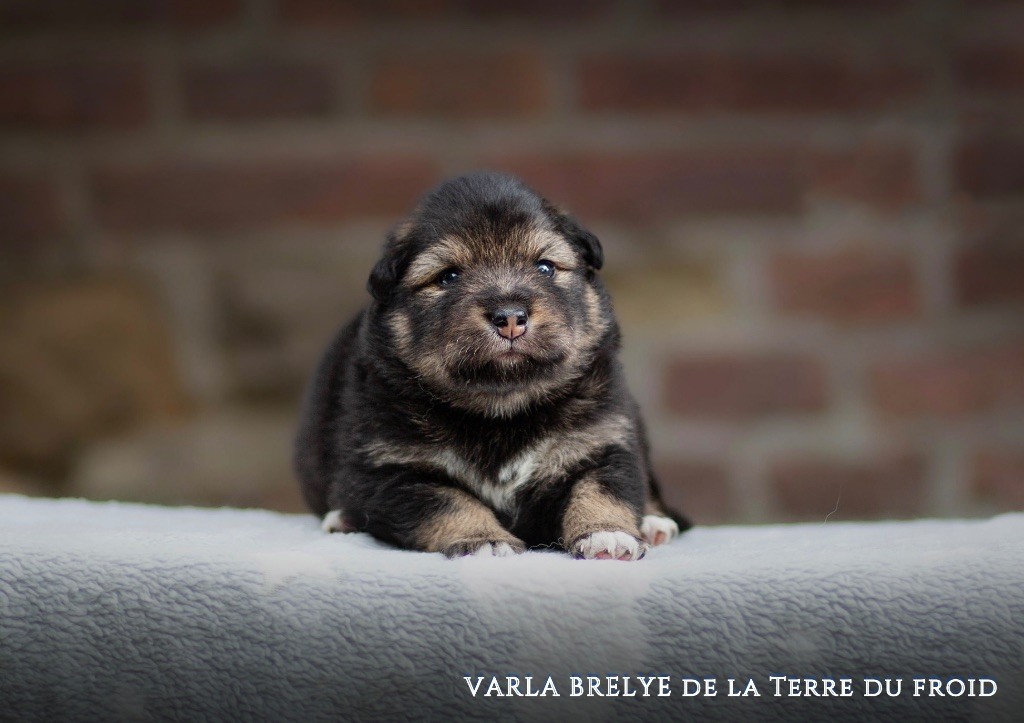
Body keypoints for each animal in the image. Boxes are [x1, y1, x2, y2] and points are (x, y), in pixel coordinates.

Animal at [296, 169, 696, 557]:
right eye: (449, 276)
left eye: (545, 267)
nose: (510, 317)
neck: (502, 407)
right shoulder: (387, 470)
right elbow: (449, 501)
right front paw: (483, 540)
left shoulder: (603, 442)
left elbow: (600, 489)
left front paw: (607, 536)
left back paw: (655, 524)